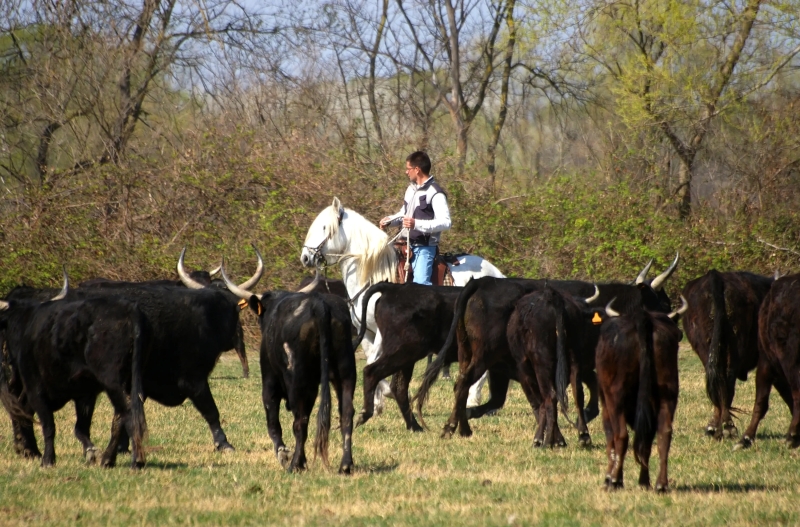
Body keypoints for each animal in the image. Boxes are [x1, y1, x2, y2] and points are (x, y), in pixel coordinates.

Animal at [304, 197, 504, 412]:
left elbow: (374, 360)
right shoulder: (365, 332)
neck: (375, 274)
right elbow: (370, 359)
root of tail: (496, 274)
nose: (305, 257)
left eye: (325, 227)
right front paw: (377, 403)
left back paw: (472, 399)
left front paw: (389, 394)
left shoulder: (384, 333)